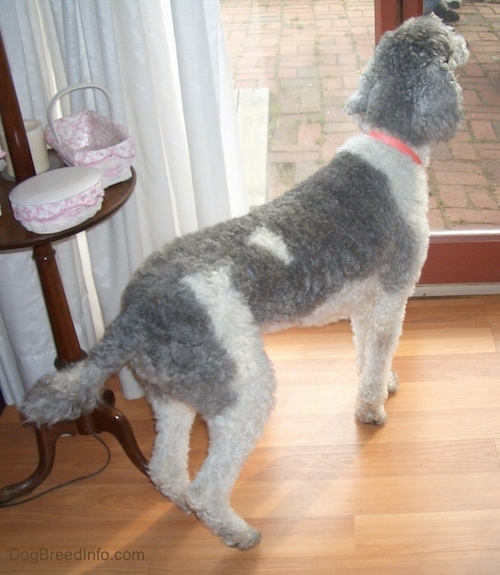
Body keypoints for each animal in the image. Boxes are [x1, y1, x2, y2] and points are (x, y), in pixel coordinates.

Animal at [21, 15, 468, 552]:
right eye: (443, 39)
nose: (459, 30)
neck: (391, 143)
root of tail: (134, 312)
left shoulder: (367, 303)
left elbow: (366, 354)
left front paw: (383, 384)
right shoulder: (393, 295)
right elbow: (378, 352)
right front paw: (372, 409)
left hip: (172, 393)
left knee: (166, 470)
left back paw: (185, 506)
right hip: (243, 389)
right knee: (206, 486)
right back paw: (238, 533)